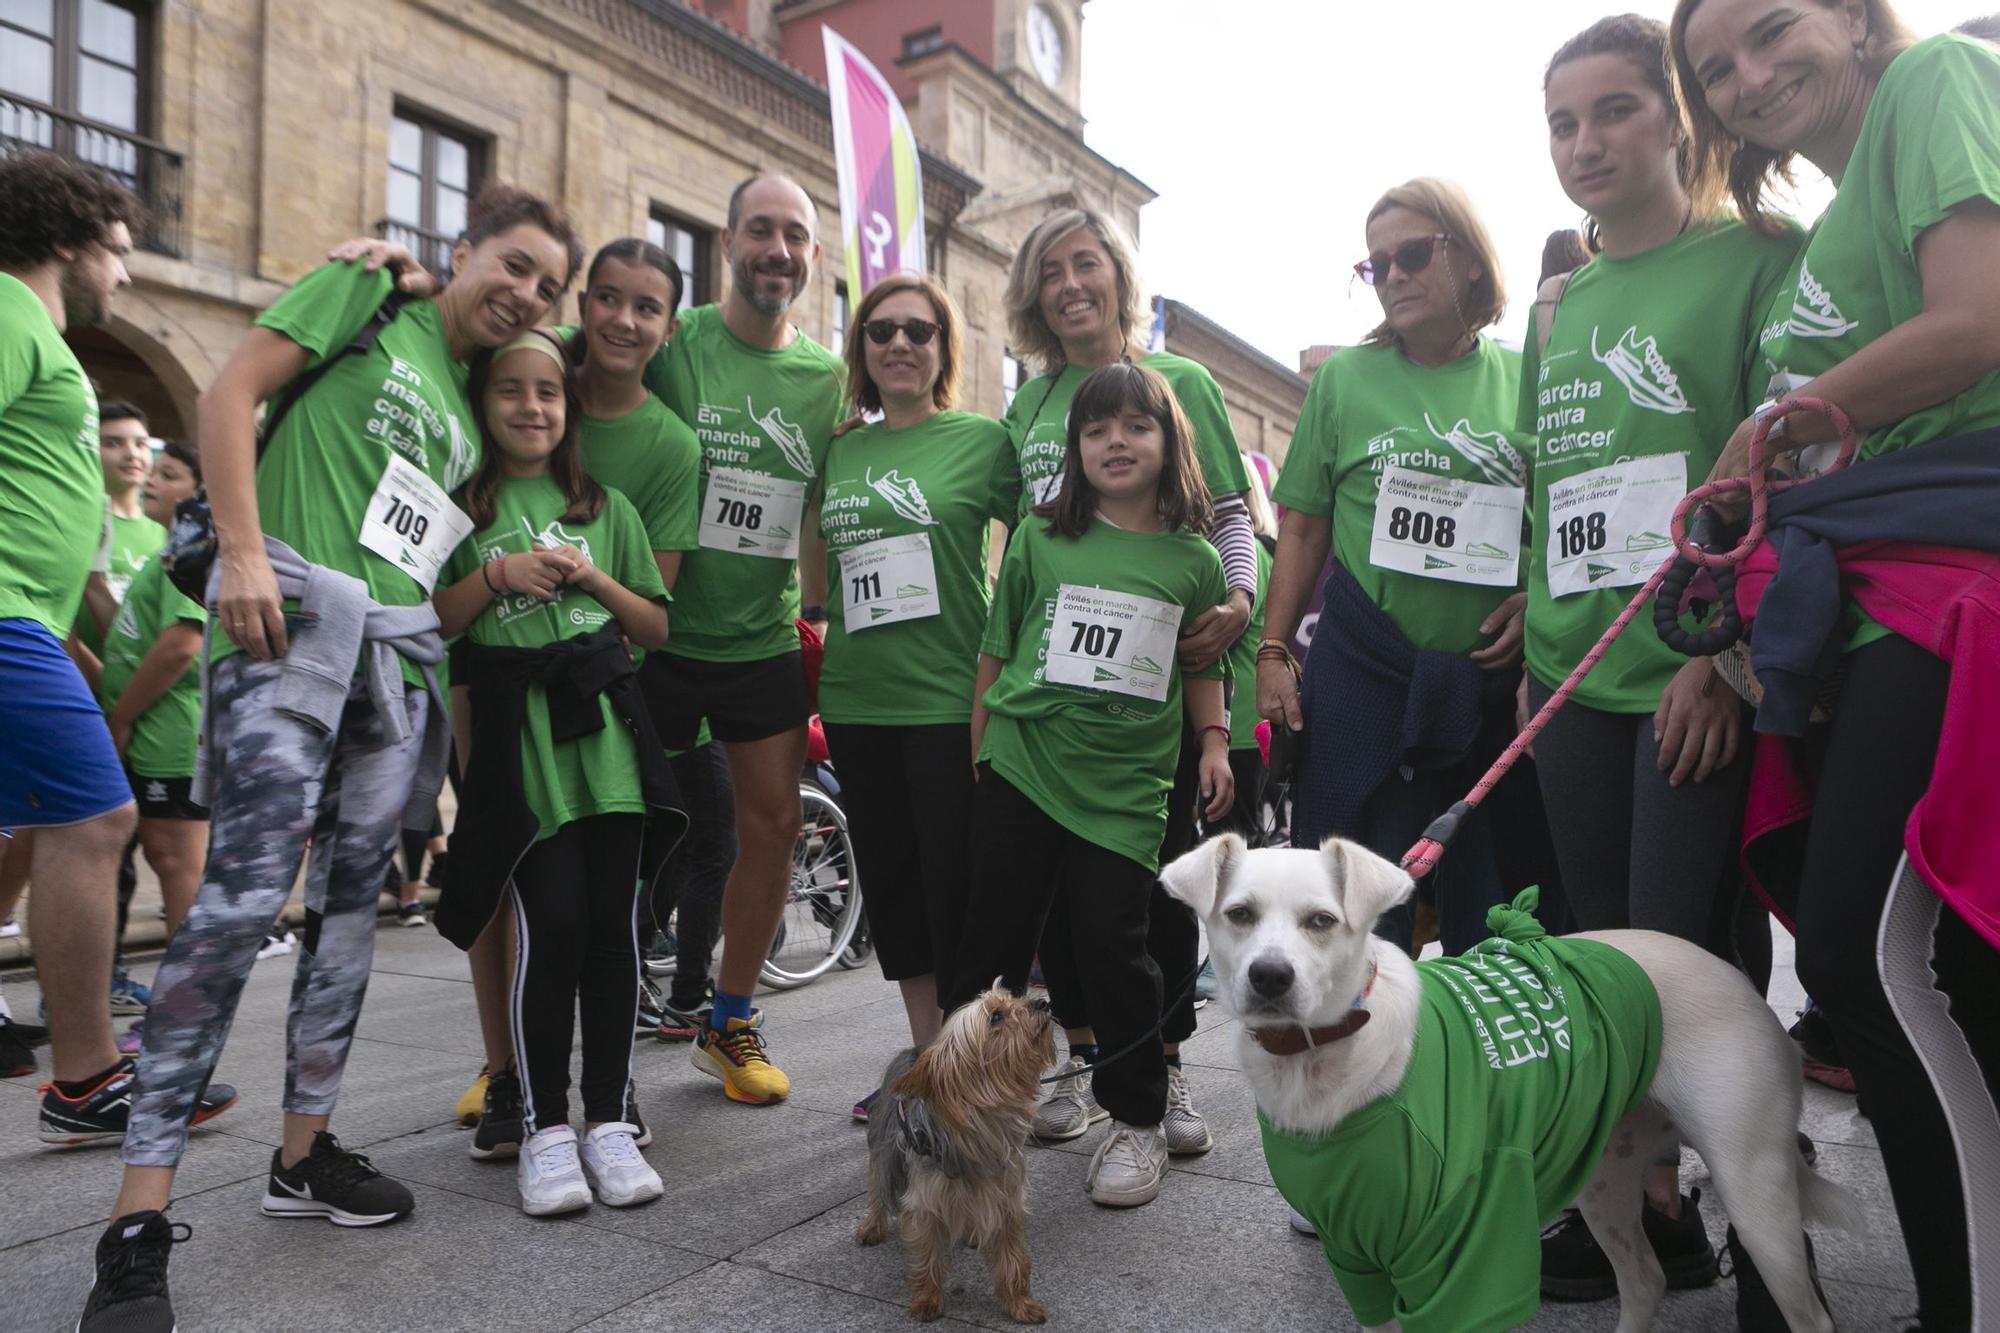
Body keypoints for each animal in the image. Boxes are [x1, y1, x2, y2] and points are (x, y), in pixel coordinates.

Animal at [1160, 832, 1856, 1328]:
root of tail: (1739, 979)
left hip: (1754, 1186)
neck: (1324, 1056)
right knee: (1645, 1279)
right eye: (1240, 914)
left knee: (1808, 1315)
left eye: (1322, 921)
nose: (1270, 977)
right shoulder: (1357, 1257)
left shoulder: (1462, 1258)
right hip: (1605, 1170)